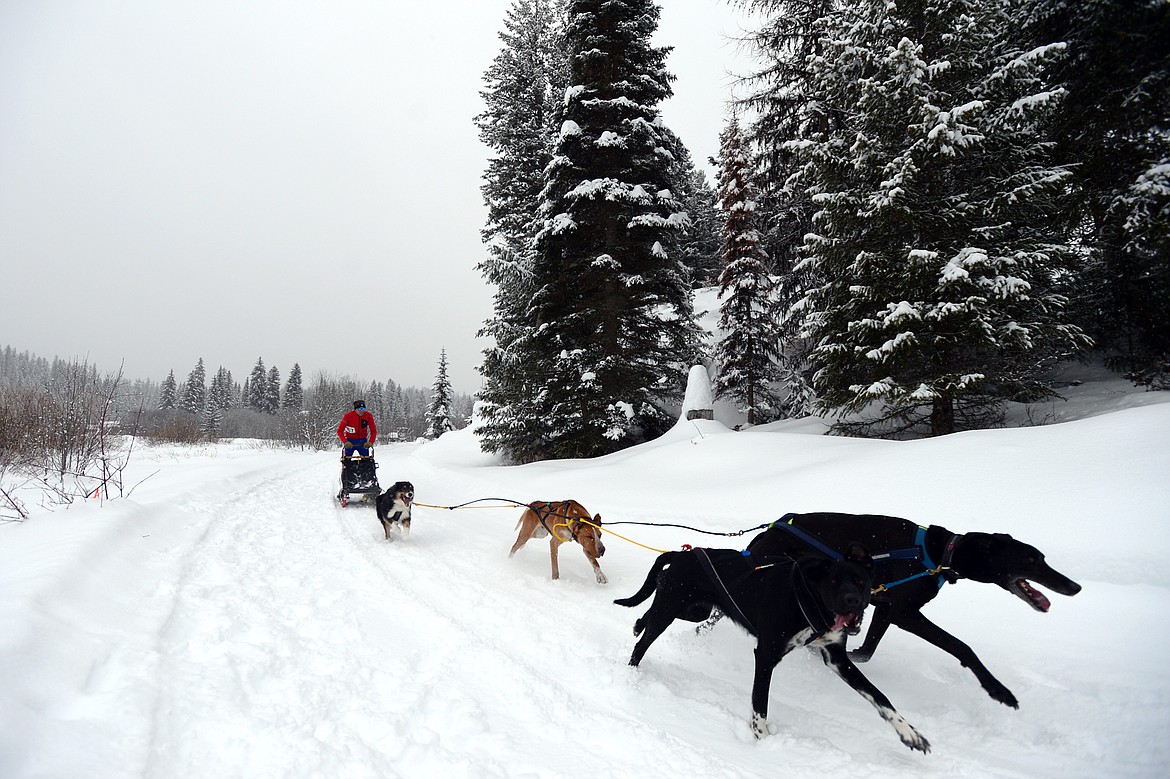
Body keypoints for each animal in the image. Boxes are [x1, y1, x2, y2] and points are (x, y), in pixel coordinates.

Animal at [617, 542, 926, 748]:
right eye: (834, 581)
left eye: (860, 580)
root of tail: (684, 553)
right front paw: (763, 740)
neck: (806, 599)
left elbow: (878, 696)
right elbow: (760, 703)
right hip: (670, 610)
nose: (853, 600)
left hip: (695, 611)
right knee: (642, 644)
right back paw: (631, 673)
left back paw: (637, 624)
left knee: (647, 615)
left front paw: (909, 732)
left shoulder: (837, 658)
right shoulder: (766, 655)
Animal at [744, 512, 1081, 706]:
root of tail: (762, 535)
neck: (938, 553)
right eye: (1031, 560)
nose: (1074, 586)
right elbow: (961, 647)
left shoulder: (884, 607)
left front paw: (848, 652)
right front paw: (997, 689)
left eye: (1042, 557)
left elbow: (867, 650)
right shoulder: (905, 613)